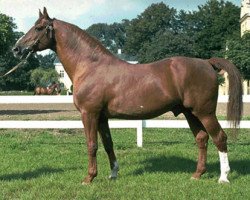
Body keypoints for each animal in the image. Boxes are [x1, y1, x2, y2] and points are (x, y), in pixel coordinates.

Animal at [12, 8, 242, 184]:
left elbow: (91, 145)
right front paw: (113, 174)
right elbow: (108, 144)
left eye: (39, 28)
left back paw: (223, 177)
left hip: (205, 112)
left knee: (219, 138)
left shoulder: (89, 114)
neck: (90, 65)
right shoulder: (102, 117)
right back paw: (197, 174)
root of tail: (206, 63)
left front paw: (89, 178)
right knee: (202, 139)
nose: (16, 49)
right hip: (190, 113)